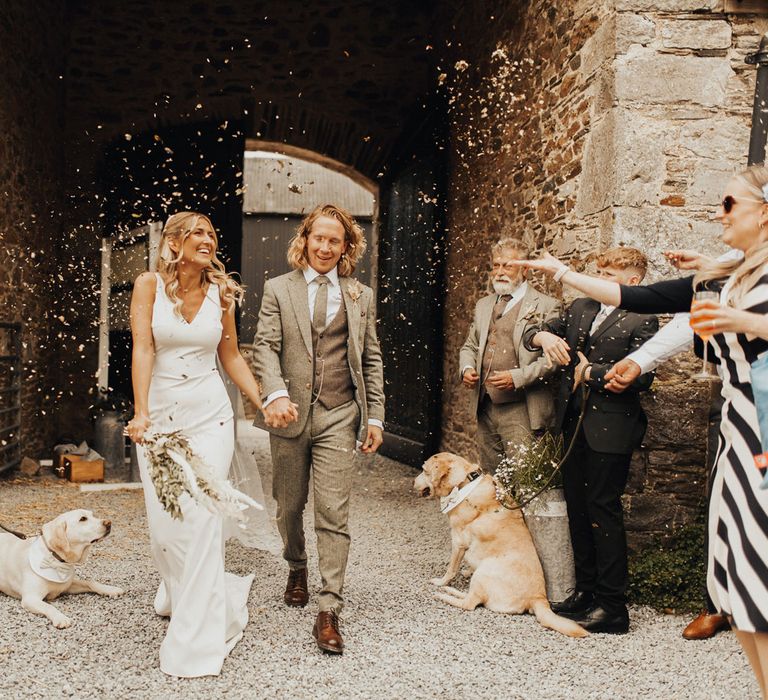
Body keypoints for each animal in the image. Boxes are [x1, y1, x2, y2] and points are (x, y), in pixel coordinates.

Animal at [414, 454, 588, 640]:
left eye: (424, 471)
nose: (413, 482)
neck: (465, 482)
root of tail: (538, 598)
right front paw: (465, 572)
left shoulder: (458, 541)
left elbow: (451, 569)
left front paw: (441, 582)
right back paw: (452, 590)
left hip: (484, 572)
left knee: (470, 603)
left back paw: (444, 595)